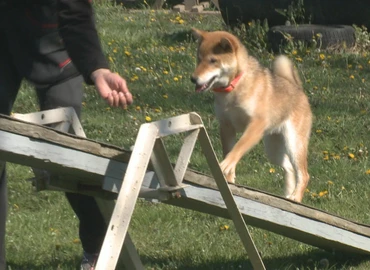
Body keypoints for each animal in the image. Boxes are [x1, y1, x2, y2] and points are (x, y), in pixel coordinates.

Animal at [191, 29, 312, 202]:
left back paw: (295, 197)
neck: (234, 87)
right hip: (273, 149)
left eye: (213, 60)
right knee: (289, 168)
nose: (193, 79)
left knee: (304, 174)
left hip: (294, 143)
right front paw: (229, 179)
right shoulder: (226, 127)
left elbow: (238, 148)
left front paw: (226, 164)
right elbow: (229, 150)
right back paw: (288, 194)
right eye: (199, 58)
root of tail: (298, 89)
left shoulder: (255, 126)